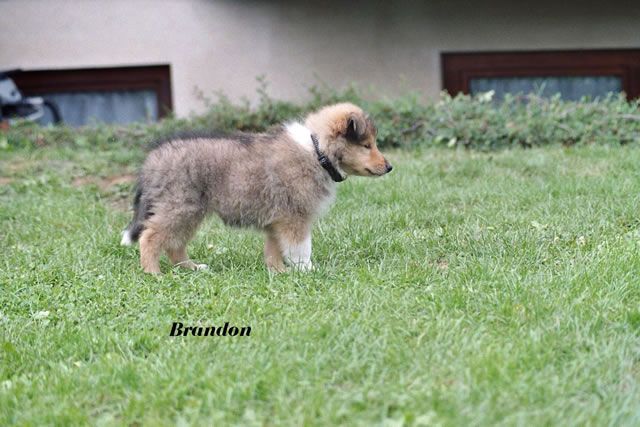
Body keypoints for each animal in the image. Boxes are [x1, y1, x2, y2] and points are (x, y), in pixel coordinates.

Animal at [121, 103, 392, 274]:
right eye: (367, 145)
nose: (389, 167)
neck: (318, 151)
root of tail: (153, 158)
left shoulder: (278, 220)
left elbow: (274, 249)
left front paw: (279, 272)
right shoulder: (295, 218)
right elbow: (301, 248)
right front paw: (307, 270)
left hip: (190, 212)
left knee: (174, 244)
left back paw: (192, 268)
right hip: (180, 207)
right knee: (150, 237)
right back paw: (153, 273)